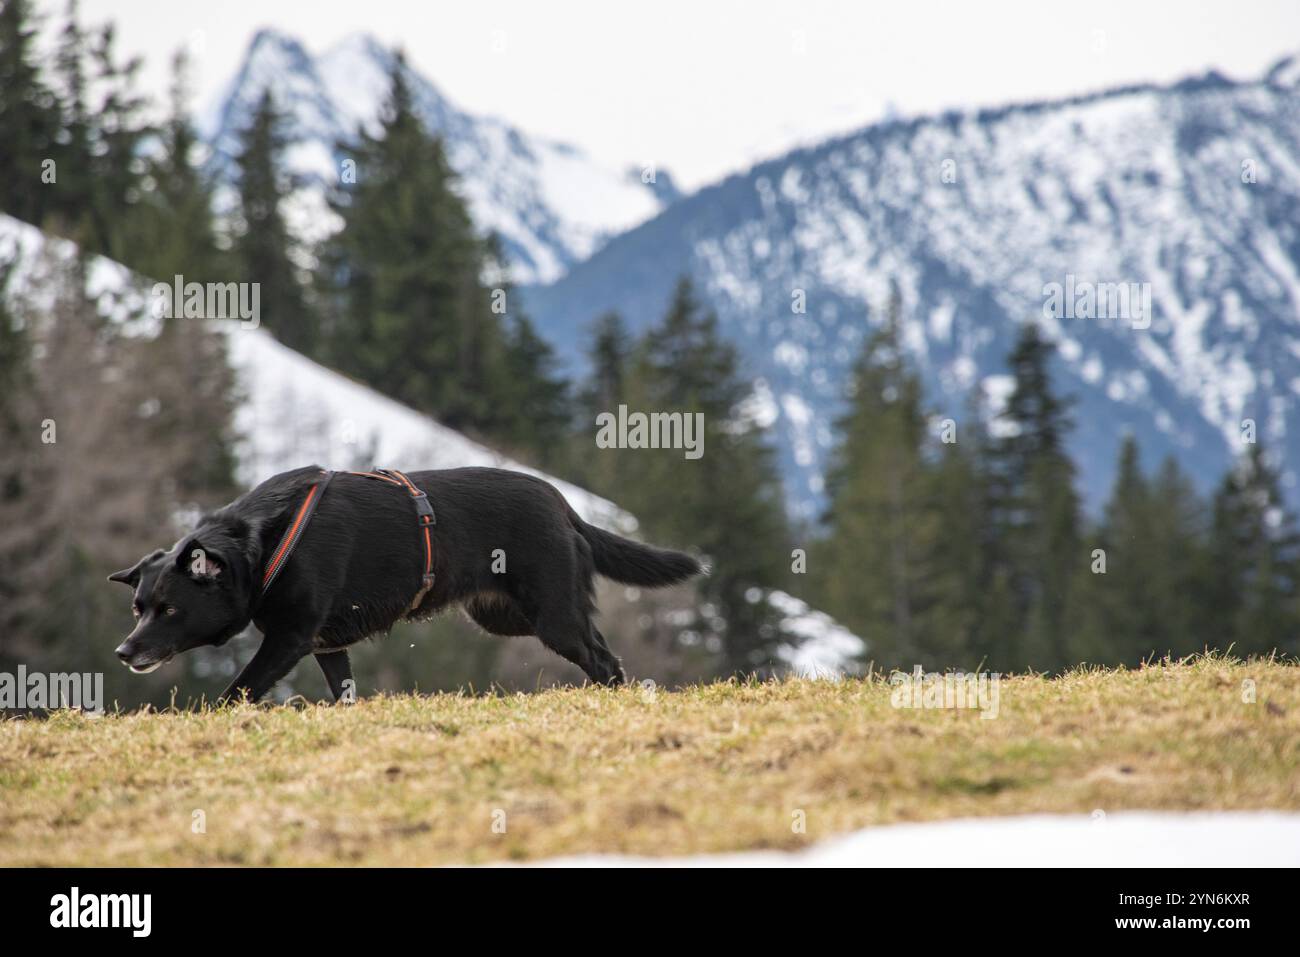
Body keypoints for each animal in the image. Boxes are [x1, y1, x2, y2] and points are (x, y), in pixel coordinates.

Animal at [109, 465, 702, 702]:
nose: (123, 653)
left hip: (551, 615)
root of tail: (562, 504)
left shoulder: (288, 640)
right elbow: (344, 693)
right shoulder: (327, 645)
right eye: (137, 606)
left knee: (604, 659)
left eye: (168, 609)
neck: (261, 545)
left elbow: (237, 691)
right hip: (510, 617)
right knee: (600, 646)